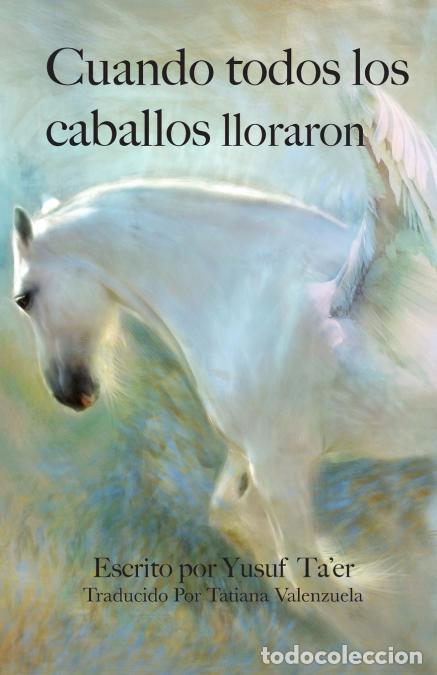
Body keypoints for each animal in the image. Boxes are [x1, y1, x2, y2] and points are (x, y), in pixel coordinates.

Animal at [12, 88, 437, 648]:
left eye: (23, 297)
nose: (70, 393)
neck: (244, 290)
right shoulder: (251, 454)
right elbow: (230, 513)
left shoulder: (280, 466)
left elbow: (310, 575)